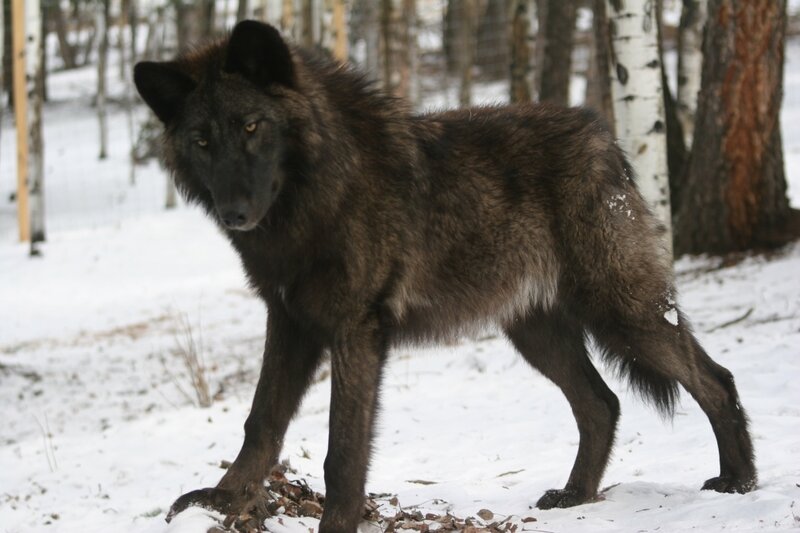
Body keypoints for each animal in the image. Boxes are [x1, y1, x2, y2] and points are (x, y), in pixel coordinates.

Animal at [133, 20, 756, 532]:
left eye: (252, 126)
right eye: (202, 140)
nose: (234, 211)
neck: (320, 194)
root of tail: (602, 136)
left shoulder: (356, 330)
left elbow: (343, 451)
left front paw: (333, 523)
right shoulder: (289, 322)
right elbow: (260, 422)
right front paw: (220, 503)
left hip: (622, 314)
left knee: (716, 379)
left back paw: (739, 482)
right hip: (537, 335)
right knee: (602, 404)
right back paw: (576, 496)